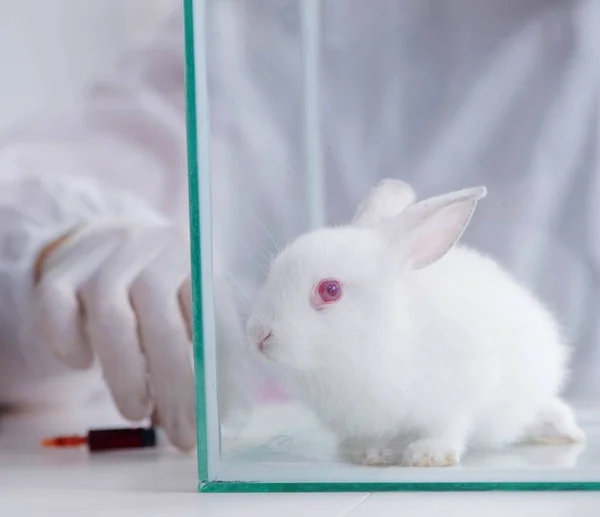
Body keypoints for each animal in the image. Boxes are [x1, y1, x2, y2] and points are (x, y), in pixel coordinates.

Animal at [246, 179, 584, 466]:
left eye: (330, 290)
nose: (258, 334)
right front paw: (367, 454)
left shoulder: (457, 396)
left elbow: (447, 429)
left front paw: (427, 456)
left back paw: (567, 433)